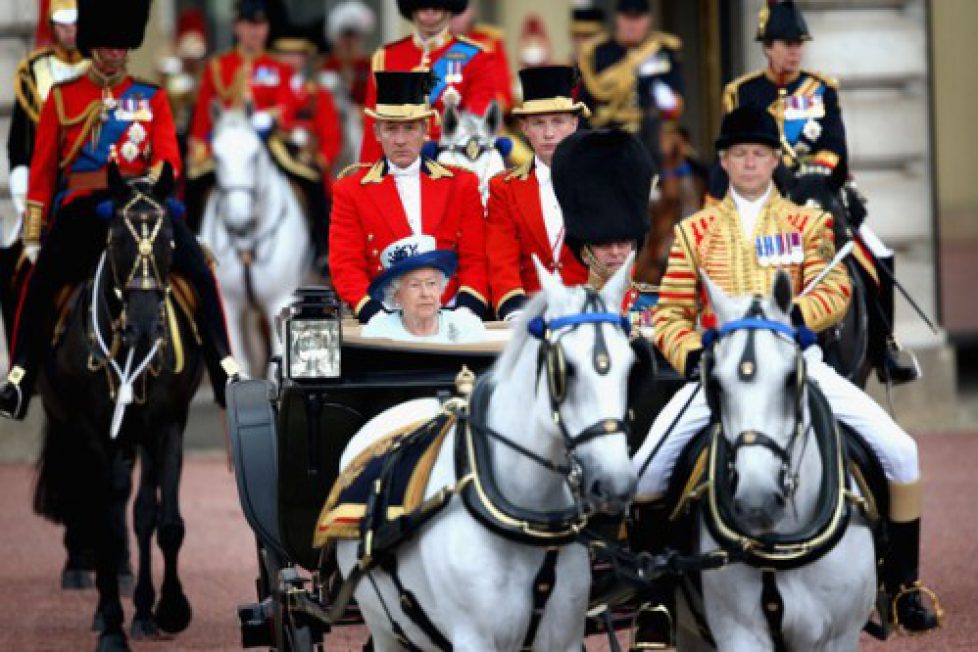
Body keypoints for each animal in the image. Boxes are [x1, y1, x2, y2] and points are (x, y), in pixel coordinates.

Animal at [195, 108, 308, 376]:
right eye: (217, 157)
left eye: (255, 156)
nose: (238, 222)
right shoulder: (229, 304)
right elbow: (241, 361)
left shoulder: (280, 300)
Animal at [336, 258, 640, 648]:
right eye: (565, 369)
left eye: (631, 366)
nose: (616, 484)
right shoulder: (473, 640)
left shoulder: (565, 638)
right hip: (383, 629)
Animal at [676, 272, 872, 648]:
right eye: (716, 383)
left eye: (790, 378)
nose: (757, 502)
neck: (780, 548)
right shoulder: (739, 634)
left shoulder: (838, 636)